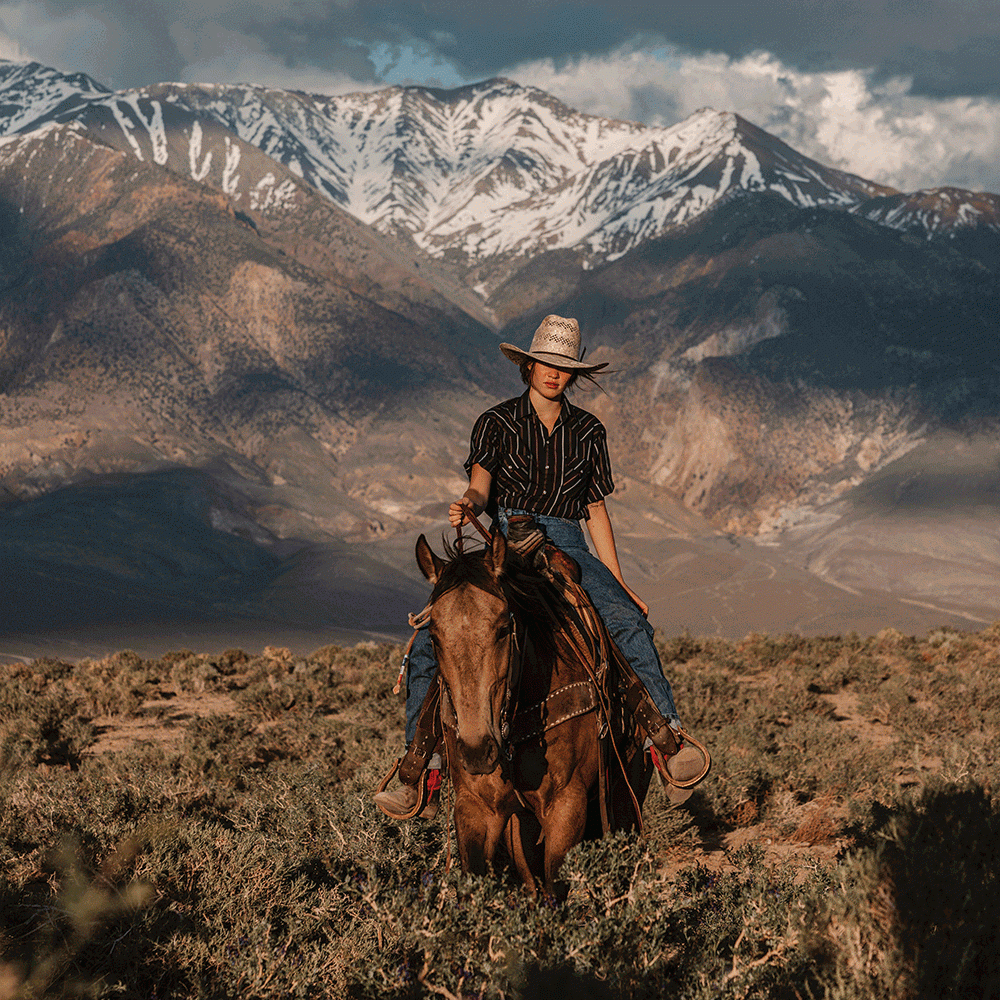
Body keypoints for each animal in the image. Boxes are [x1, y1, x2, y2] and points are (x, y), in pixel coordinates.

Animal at [412, 528, 652, 896]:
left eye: (502, 628)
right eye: (434, 636)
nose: (478, 750)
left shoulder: (566, 806)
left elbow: (557, 888)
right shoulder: (476, 807)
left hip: (627, 794)